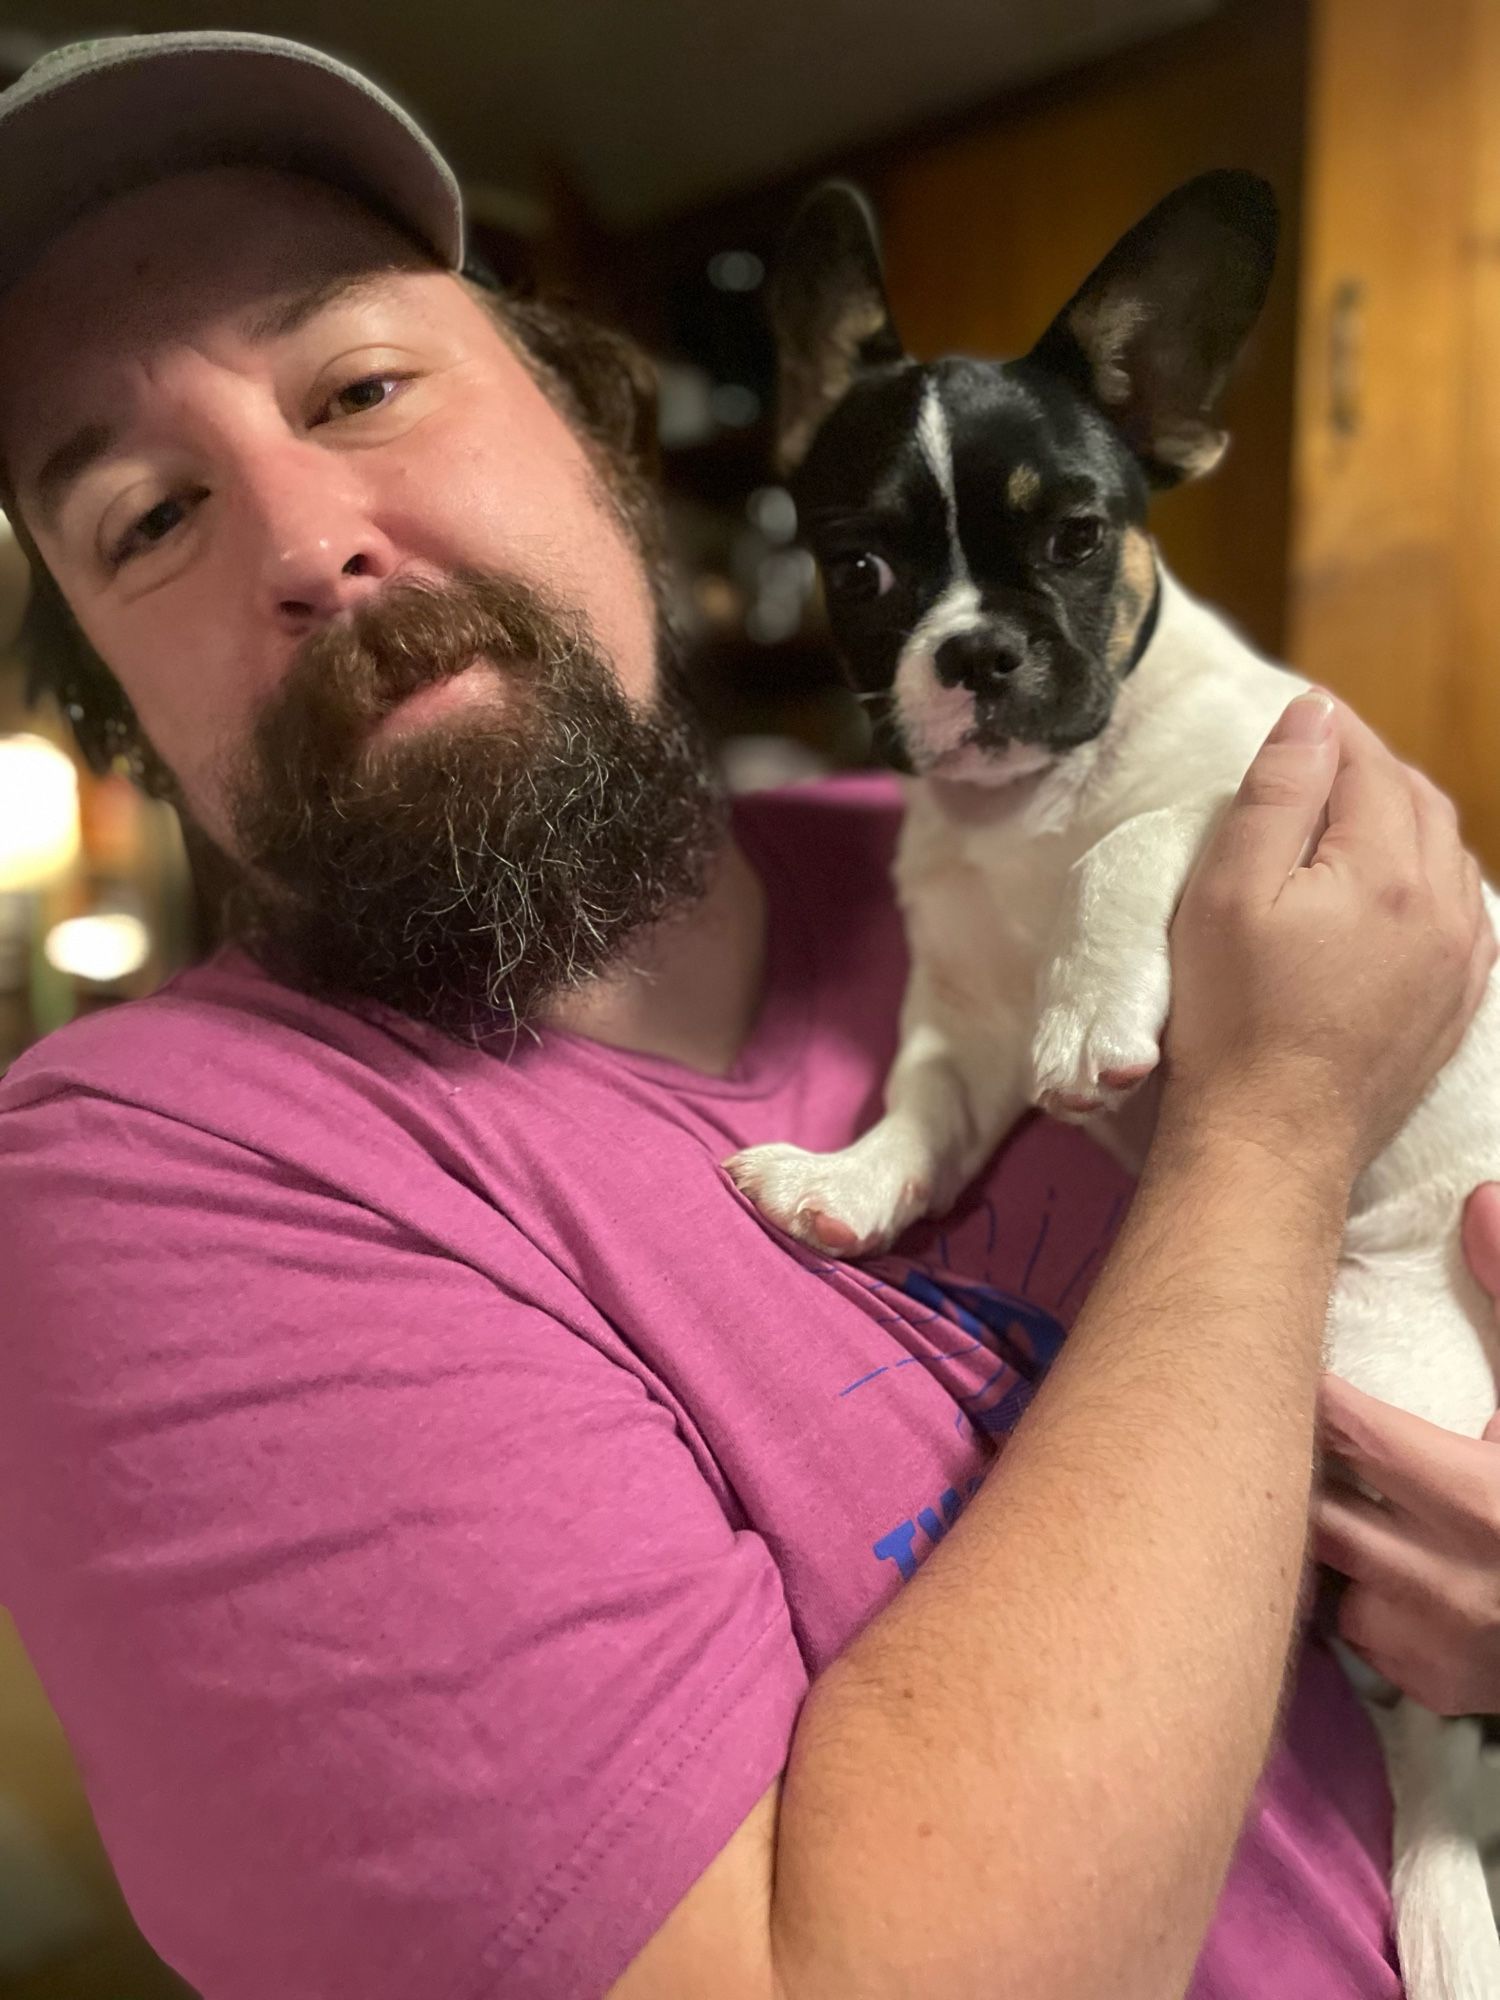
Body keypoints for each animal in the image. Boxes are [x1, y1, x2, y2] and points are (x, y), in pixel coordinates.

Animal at [728, 172, 1500, 2000]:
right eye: (860, 566)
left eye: (1079, 537)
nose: (977, 654)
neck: (1024, 818)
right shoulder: (955, 1028)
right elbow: (917, 1116)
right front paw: (844, 1186)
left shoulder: (1254, 792)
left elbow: (1137, 841)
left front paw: (1096, 1014)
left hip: (1371, 1362)